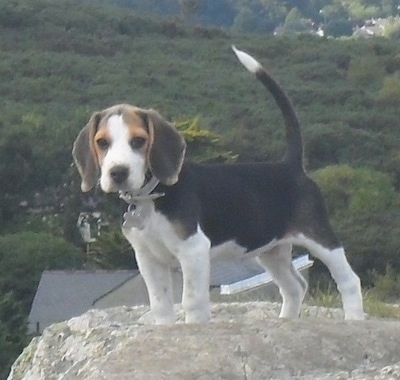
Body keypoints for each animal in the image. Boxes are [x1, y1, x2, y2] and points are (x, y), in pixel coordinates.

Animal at [73, 45, 364, 324]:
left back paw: (354, 319)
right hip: (272, 250)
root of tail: (290, 165)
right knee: (295, 286)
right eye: (102, 142)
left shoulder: (193, 250)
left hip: (320, 238)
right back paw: (286, 321)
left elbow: (192, 301)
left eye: (139, 141)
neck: (152, 195)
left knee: (349, 281)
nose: (118, 172)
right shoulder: (148, 258)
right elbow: (160, 304)